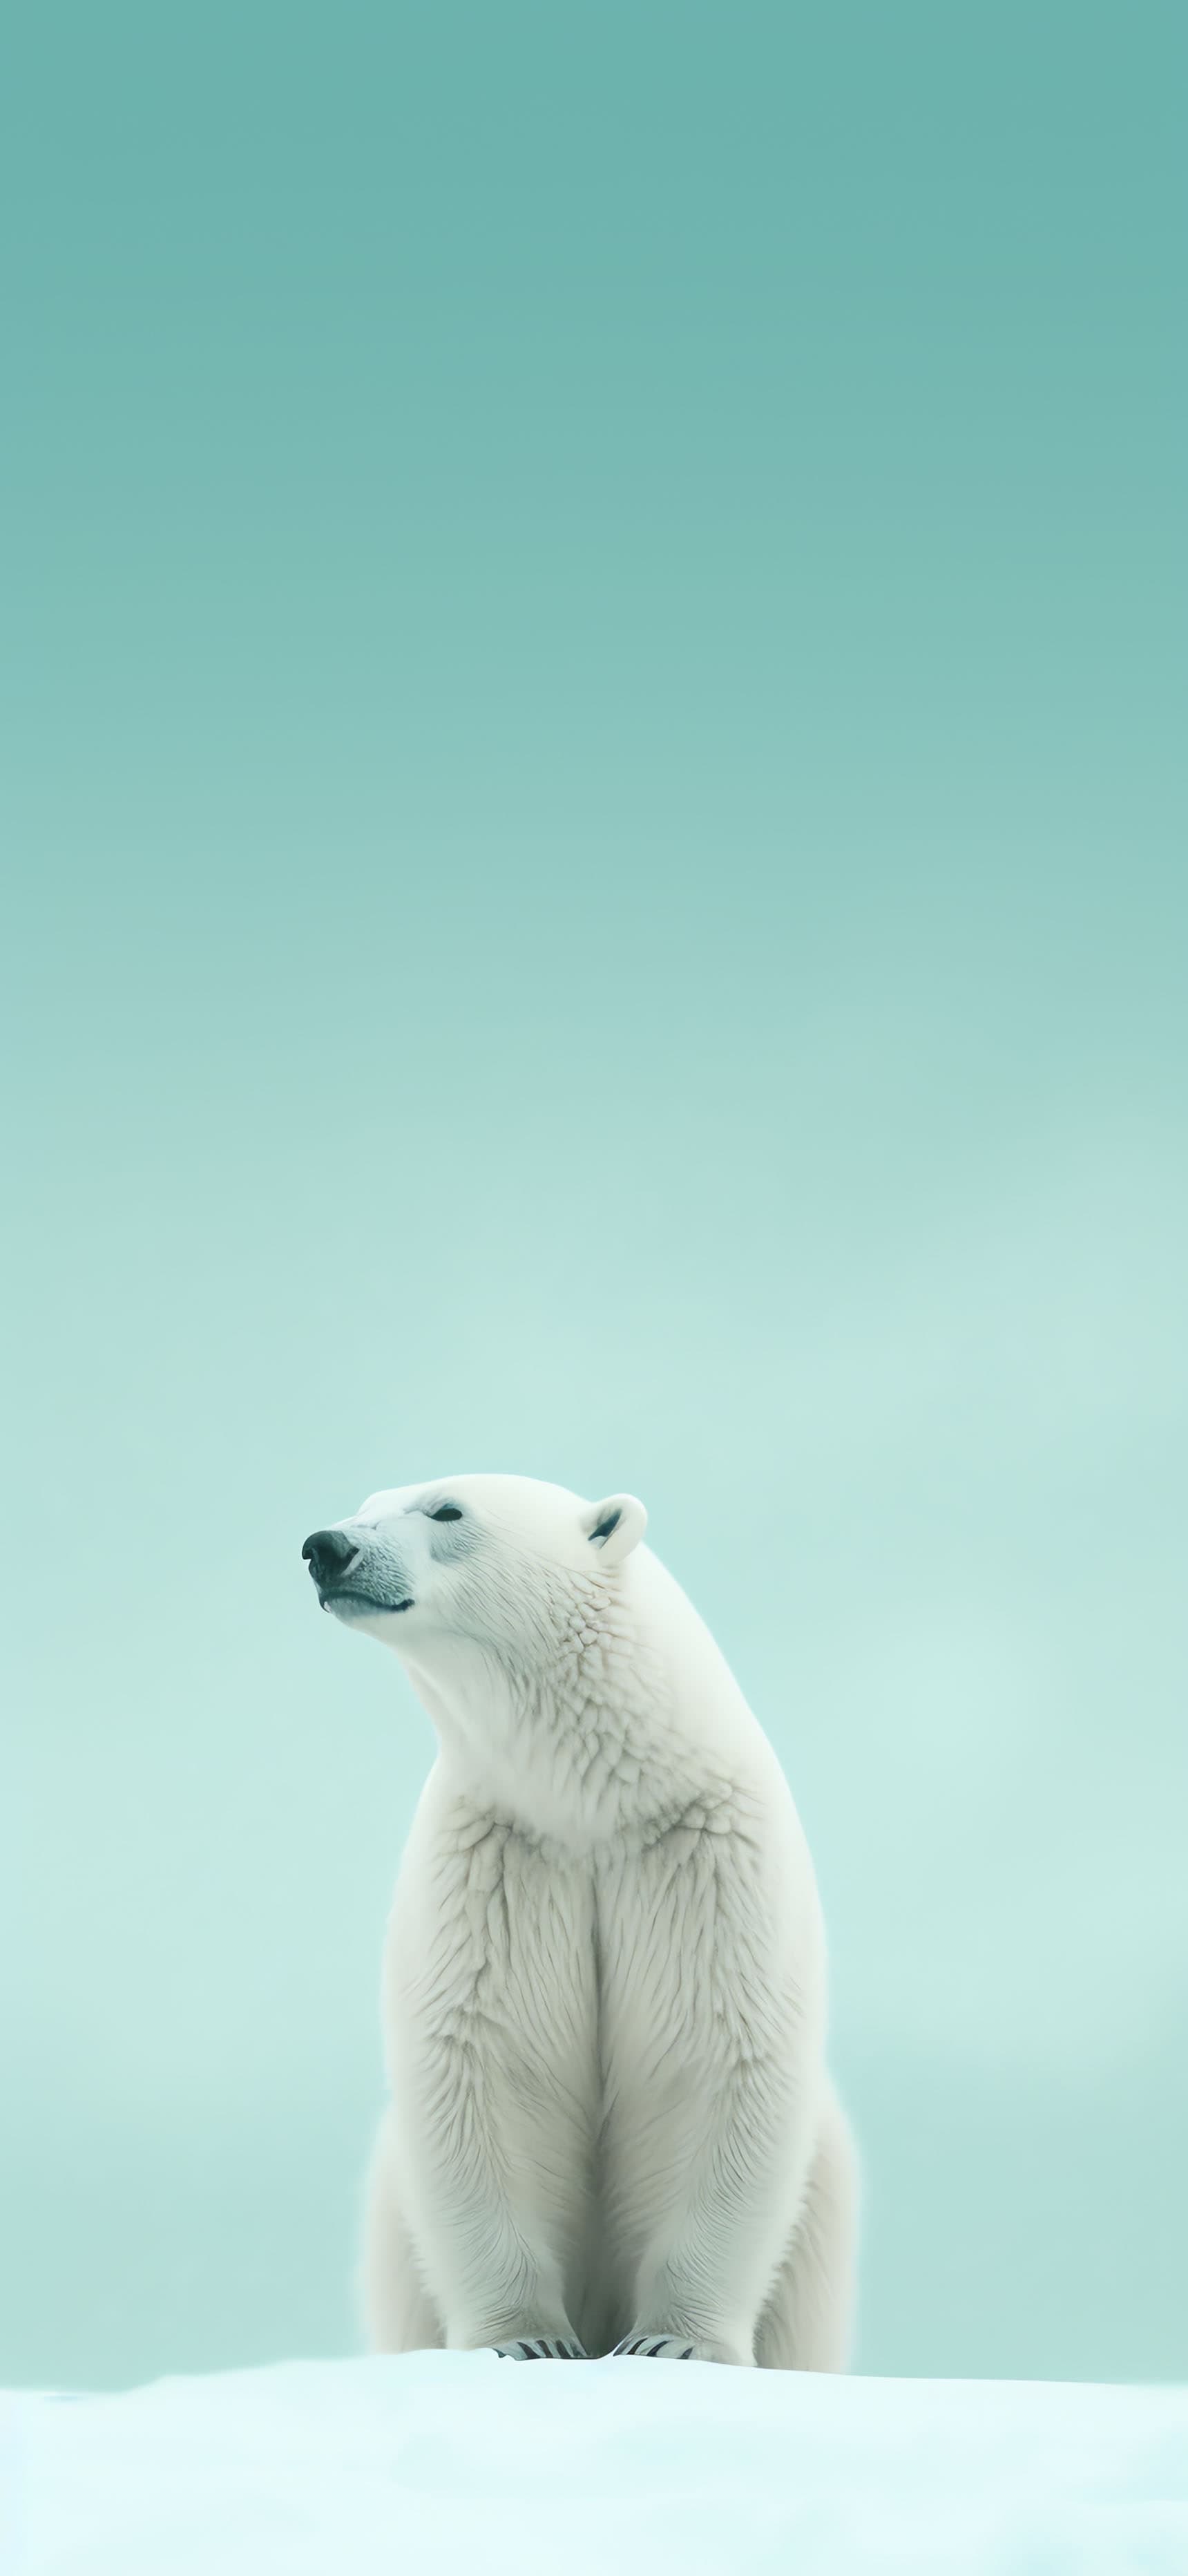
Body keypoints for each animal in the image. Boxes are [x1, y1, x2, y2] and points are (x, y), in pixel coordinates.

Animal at [302, 1474, 857, 2367]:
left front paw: (673, 2342)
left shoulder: (702, 1858)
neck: (593, 1800)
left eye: (446, 1508)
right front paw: (524, 2340)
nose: (327, 1546)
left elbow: (720, 2058)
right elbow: (482, 2061)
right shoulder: (497, 1861)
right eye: (365, 1502)